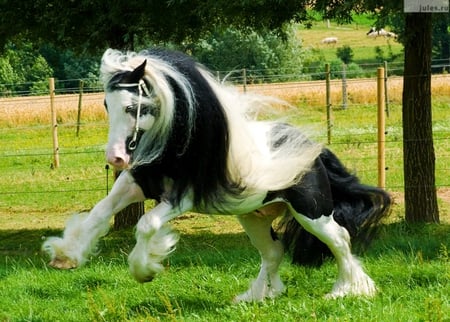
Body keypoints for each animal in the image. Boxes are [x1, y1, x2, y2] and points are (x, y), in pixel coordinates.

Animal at [41, 47, 390, 302]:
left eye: (131, 106)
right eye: (105, 104)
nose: (114, 157)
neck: (178, 146)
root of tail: (314, 151)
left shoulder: (180, 198)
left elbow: (146, 224)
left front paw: (145, 269)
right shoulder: (134, 183)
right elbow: (99, 213)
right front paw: (66, 256)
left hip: (312, 212)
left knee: (340, 239)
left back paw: (347, 291)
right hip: (253, 216)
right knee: (273, 251)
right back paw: (255, 297)